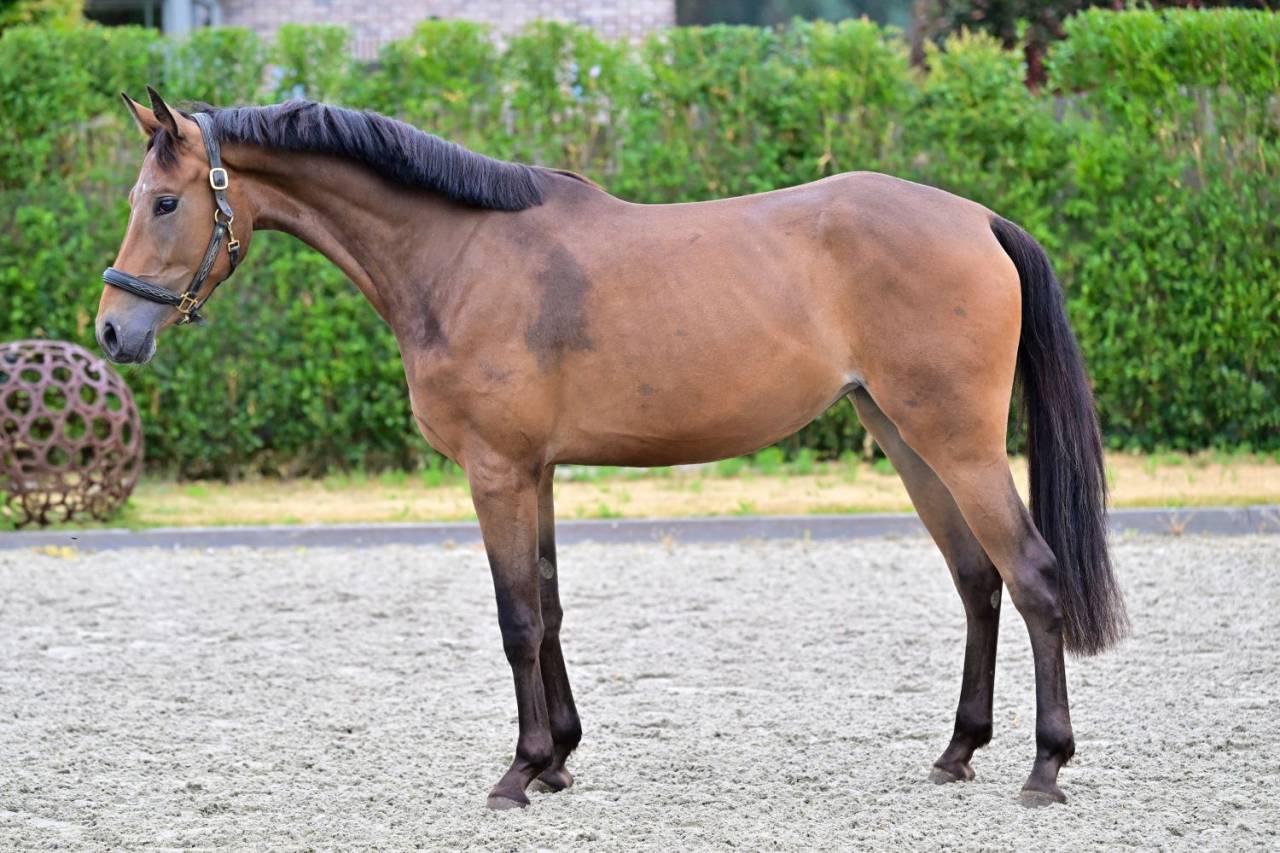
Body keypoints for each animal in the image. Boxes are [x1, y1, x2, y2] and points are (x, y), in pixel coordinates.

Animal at [96, 88, 1127, 809]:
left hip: (957, 443)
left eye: (163, 202)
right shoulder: (537, 471)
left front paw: (518, 771)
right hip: (906, 438)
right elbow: (550, 608)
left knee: (1033, 576)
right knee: (978, 582)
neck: (461, 255)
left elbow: (517, 618)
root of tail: (977, 218)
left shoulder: (497, 471)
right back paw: (958, 751)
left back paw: (1045, 767)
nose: (111, 330)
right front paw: (558, 759)